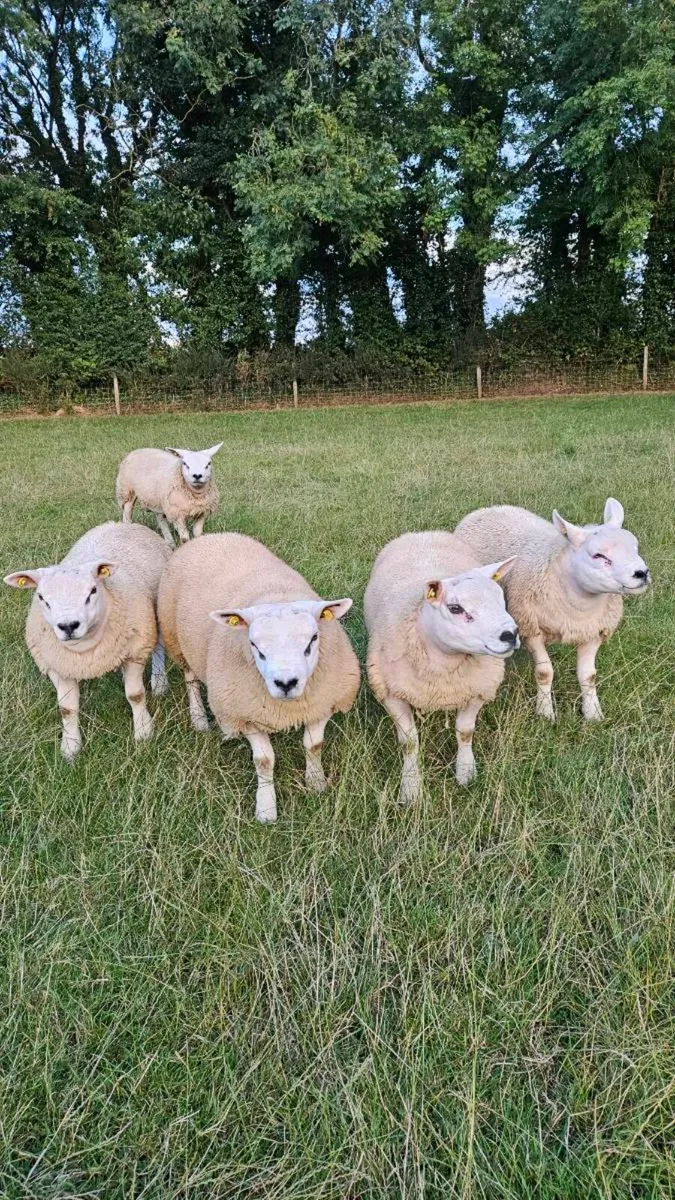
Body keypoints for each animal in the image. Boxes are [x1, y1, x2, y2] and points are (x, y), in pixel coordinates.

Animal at [4, 522, 171, 760]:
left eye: (92, 591)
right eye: (42, 597)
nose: (68, 626)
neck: (85, 649)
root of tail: (122, 523)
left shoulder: (135, 650)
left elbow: (135, 695)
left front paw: (143, 733)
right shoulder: (58, 665)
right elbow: (66, 709)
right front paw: (70, 748)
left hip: (157, 610)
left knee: (158, 646)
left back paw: (159, 682)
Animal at [158, 532, 360, 822]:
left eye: (313, 639)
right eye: (254, 645)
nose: (286, 683)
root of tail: (211, 536)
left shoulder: (323, 703)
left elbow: (314, 745)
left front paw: (316, 783)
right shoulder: (244, 714)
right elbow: (264, 761)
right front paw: (266, 809)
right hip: (177, 639)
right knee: (190, 679)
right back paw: (198, 718)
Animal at [364, 531, 518, 803]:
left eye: (501, 600)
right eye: (456, 608)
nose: (510, 635)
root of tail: (423, 533)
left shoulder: (478, 689)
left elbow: (465, 732)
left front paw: (466, 772)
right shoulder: (390, 693)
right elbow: (409, 743)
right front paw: (411, 788)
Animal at [455, 499, 651, 722]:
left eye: (635, 547)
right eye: (598, 555)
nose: (642, 573)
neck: (579, 606)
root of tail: (489, 509)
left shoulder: (593, 632)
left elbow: (589, 676)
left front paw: (593, 713)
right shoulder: (532, 629)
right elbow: (544, 673)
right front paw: (545, 713)